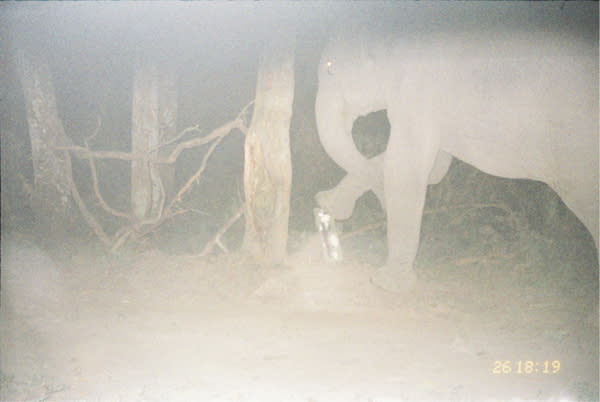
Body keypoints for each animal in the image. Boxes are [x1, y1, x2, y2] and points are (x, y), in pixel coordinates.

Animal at [316, 3, 596, 292]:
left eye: (330, 68)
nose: (381, 208)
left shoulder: (418, 93)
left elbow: (406, 167)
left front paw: (386, 282)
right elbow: (435, 170)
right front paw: (327, 202)